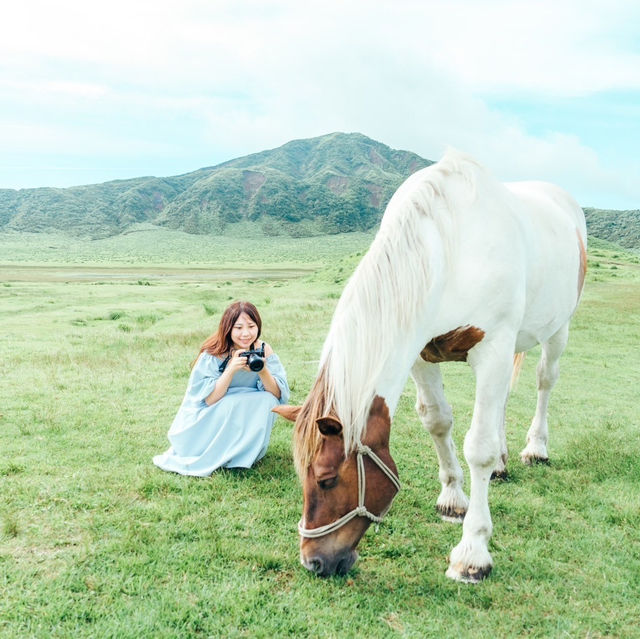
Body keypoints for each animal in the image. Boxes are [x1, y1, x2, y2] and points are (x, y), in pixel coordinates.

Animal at [272, 149, 588, 580]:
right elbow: (437, 421)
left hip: (558, 329)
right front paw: (453, 498)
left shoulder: (493, 348)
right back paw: (504, 463)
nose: (314, 561)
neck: (450, 249)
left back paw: (535, 448)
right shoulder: (419, 350)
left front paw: (472, 551)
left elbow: (479, 447)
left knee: (545, 382)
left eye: (326, 479)